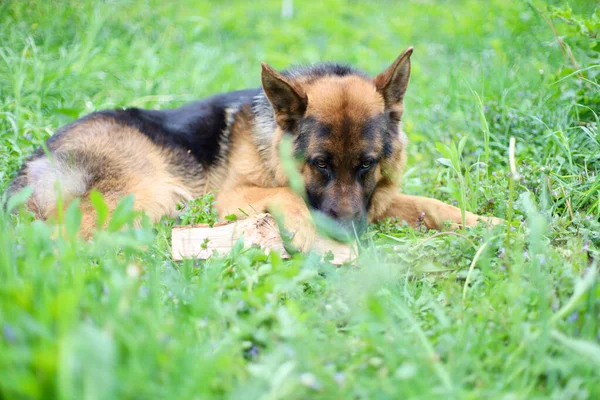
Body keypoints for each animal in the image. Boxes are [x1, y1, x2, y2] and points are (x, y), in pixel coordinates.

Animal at [8, 47, 502, 250]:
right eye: (319, 165)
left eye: (366, 165)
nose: (347, 235)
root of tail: (36, 160)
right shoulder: (237, 194)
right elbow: (286, 196)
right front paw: (305, 233)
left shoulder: (376, 203)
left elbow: (432, 205)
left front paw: (491, 225)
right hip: (148, 196)